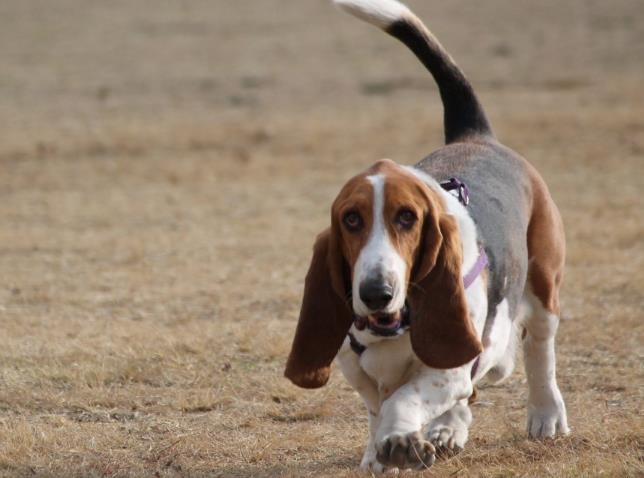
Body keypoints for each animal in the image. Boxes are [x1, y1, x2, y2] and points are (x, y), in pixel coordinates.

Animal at [284, 0, 568, 470]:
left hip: (543, 285)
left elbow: (405, 398)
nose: (375, 292)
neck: (393, 325)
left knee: (537, 350)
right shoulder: (357, 368)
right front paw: (379, 452)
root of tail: (476, 135)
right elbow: (378, 405)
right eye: (351, 219)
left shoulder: (448, 367)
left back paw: (545, 416)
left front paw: (400, 439)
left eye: (407, 218)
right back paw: (449, 428)